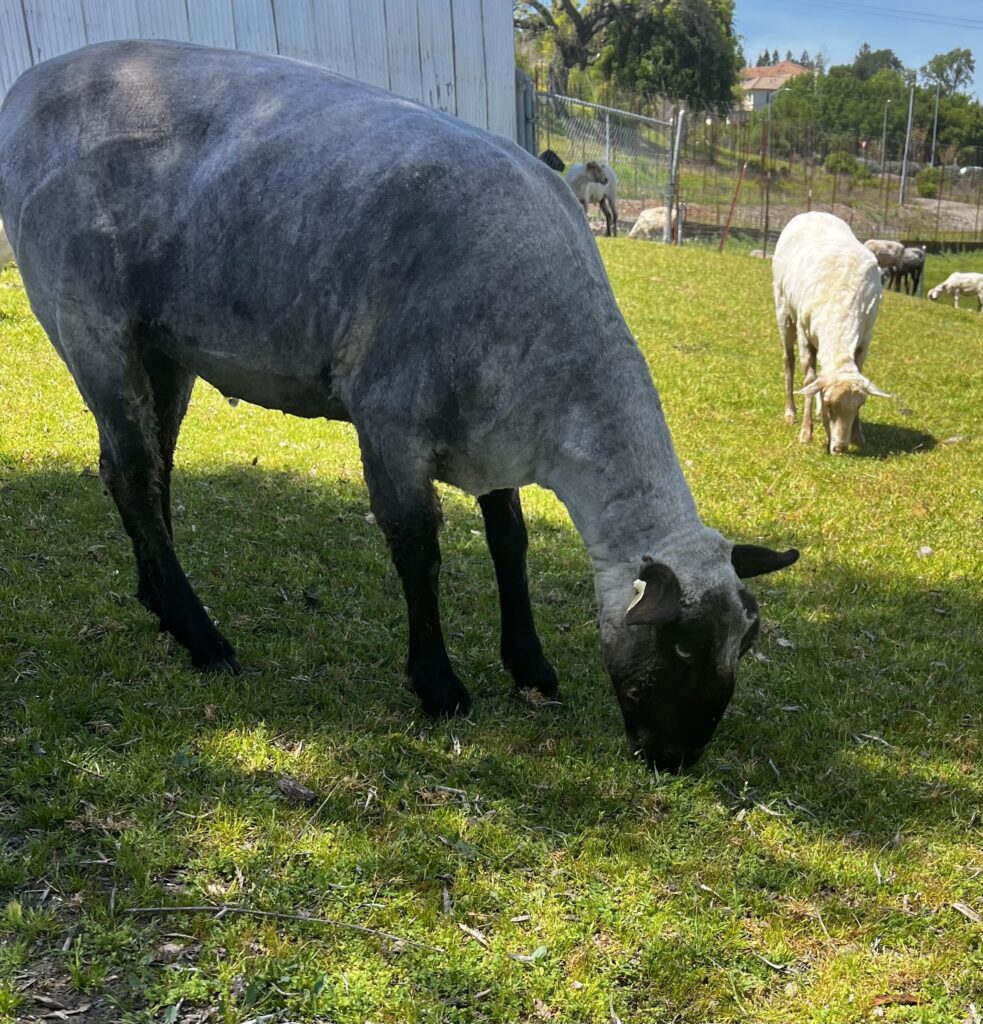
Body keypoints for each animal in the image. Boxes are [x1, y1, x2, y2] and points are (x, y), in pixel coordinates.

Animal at [0, 44, 798, 770]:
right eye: (681, 644)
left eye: (746, 642)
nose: (675, 759)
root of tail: (28, 84)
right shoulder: (391, 419)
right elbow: (417, 548)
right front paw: (440, 687)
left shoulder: (494, 429)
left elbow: (509, 542)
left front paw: (531, 668)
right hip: (87, 318)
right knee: (133, 473)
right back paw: (205, 640)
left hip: (161, 344)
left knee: (148, 465)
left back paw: (162, 607)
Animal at [774, 212, 892, 456]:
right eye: (829, 404)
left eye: (861, 405)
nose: (840, 448)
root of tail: (814, 212)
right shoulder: (804, 332)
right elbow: (809, 379)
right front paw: (805, 432)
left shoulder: (865, 338)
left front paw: (859, 435)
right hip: (783, 310)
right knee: (788, 360)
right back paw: (790, 413)